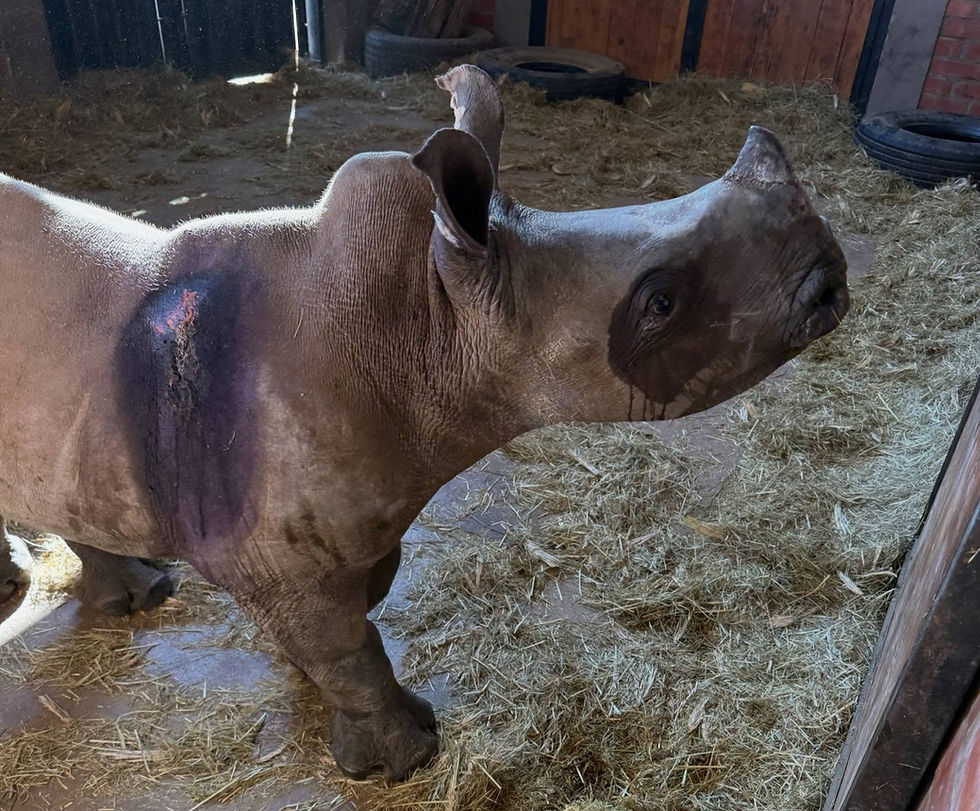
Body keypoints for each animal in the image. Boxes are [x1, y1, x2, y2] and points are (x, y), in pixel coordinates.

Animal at [0, 65, 848, 780]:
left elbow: (354, 613)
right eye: (662, 302)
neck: (428, 318)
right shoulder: (277, 549)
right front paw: (401, 761)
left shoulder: (344, 518)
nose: (832, 277)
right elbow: (347, 647)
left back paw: (136, 596)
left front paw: (321, 688)